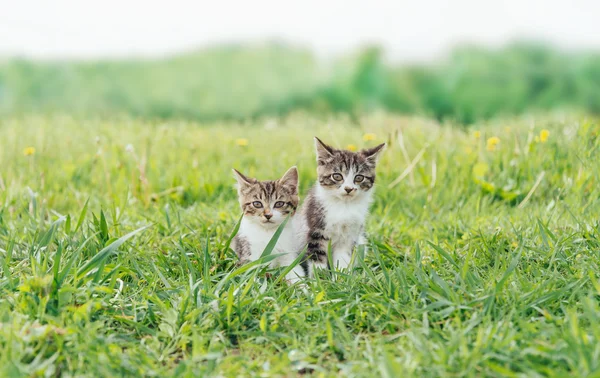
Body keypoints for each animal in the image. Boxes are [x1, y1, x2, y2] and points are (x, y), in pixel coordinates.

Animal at [298, 137, 386, 276]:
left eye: (359, 178)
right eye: (337, 176)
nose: (348, 188)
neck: (343, 206)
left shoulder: (348, 237)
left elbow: (342, 260)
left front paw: (341, 278)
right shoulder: (316, 230)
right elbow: (318, 260)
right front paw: (321, 280)